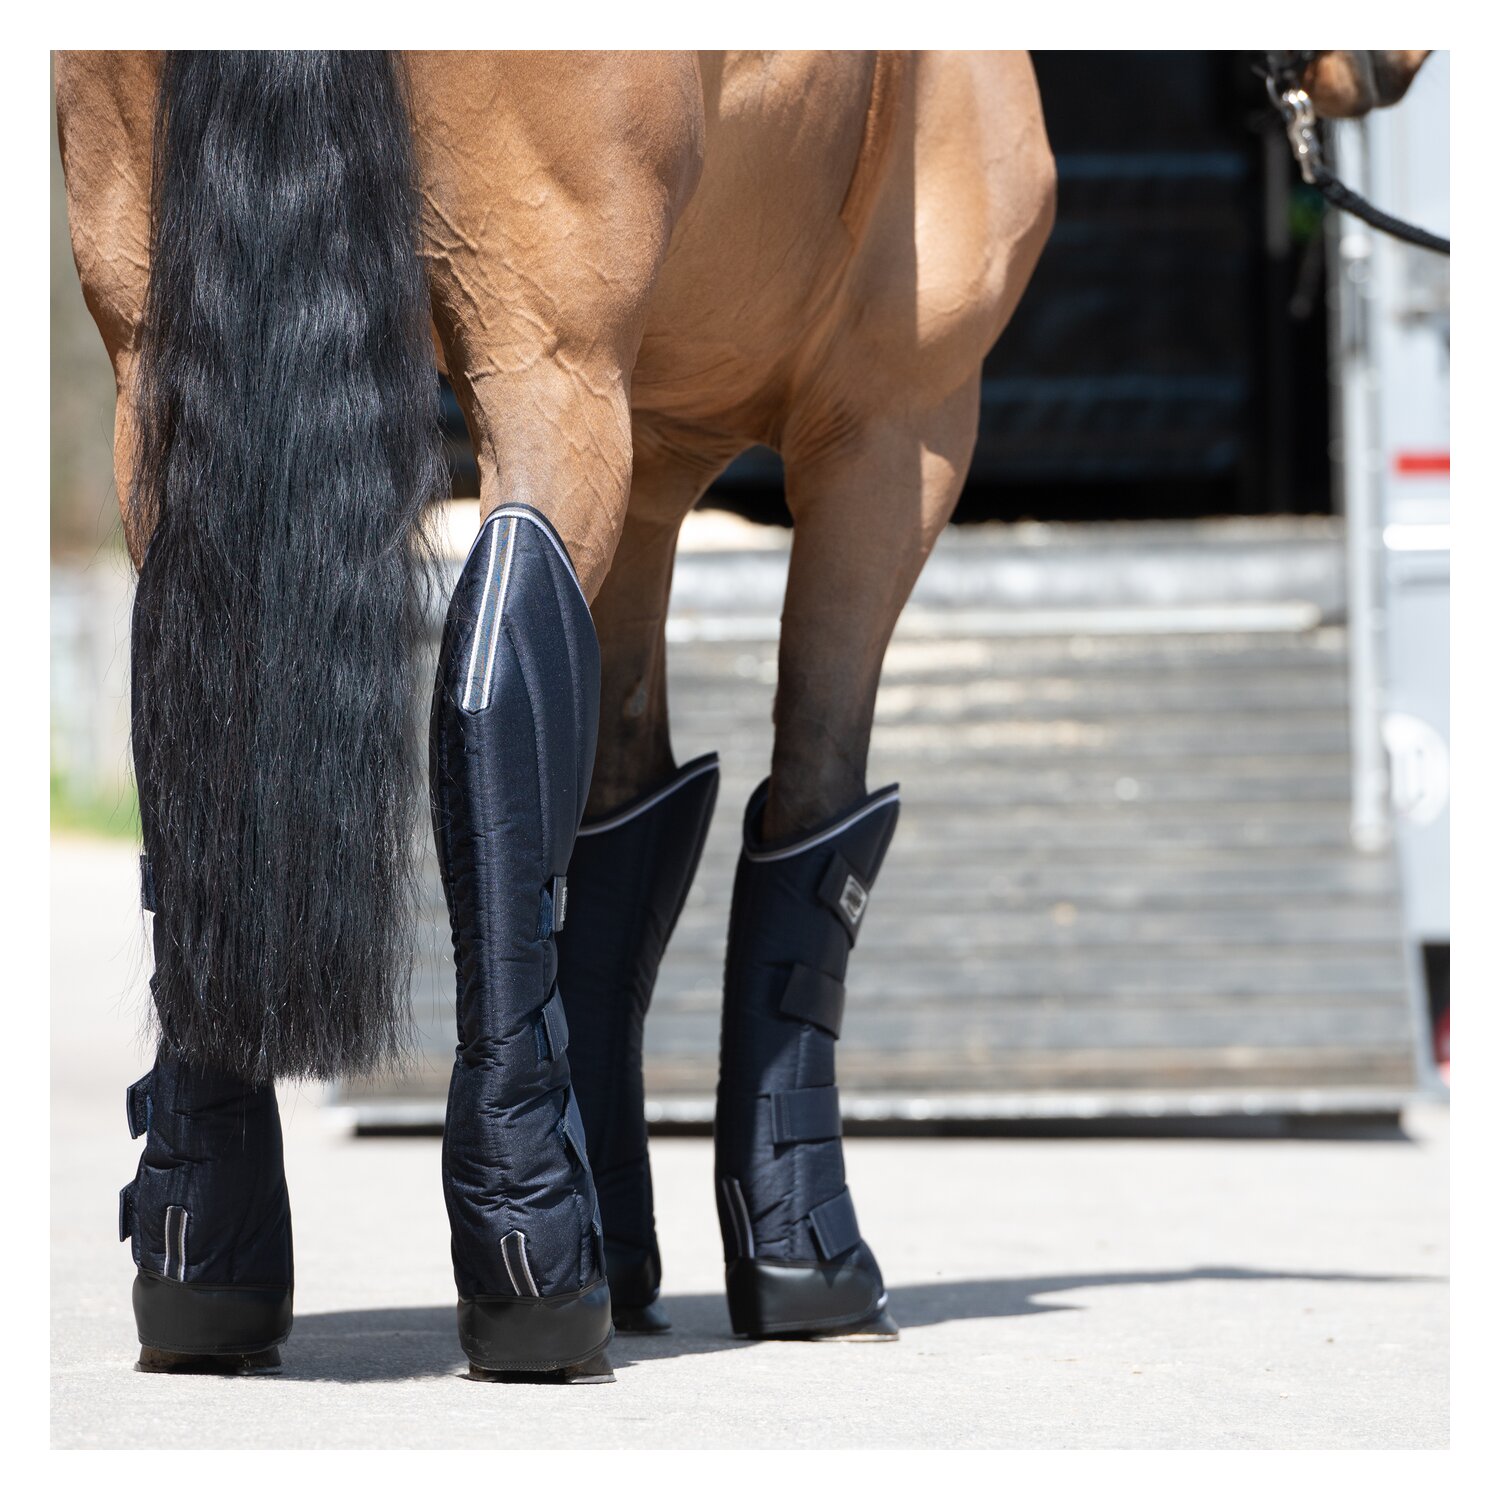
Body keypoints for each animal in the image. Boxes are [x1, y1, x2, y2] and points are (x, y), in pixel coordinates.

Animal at [56, 48, 1429, 1380]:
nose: (1389, 67)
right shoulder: (895, 428)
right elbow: (818, 825)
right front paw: (804, 1267)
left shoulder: (659, 460)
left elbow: (616, 850)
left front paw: (631, 1250)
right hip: (546, 365)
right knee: (495, 688)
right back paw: (534, 1280)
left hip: (171, 363)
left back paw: (207, 1266)